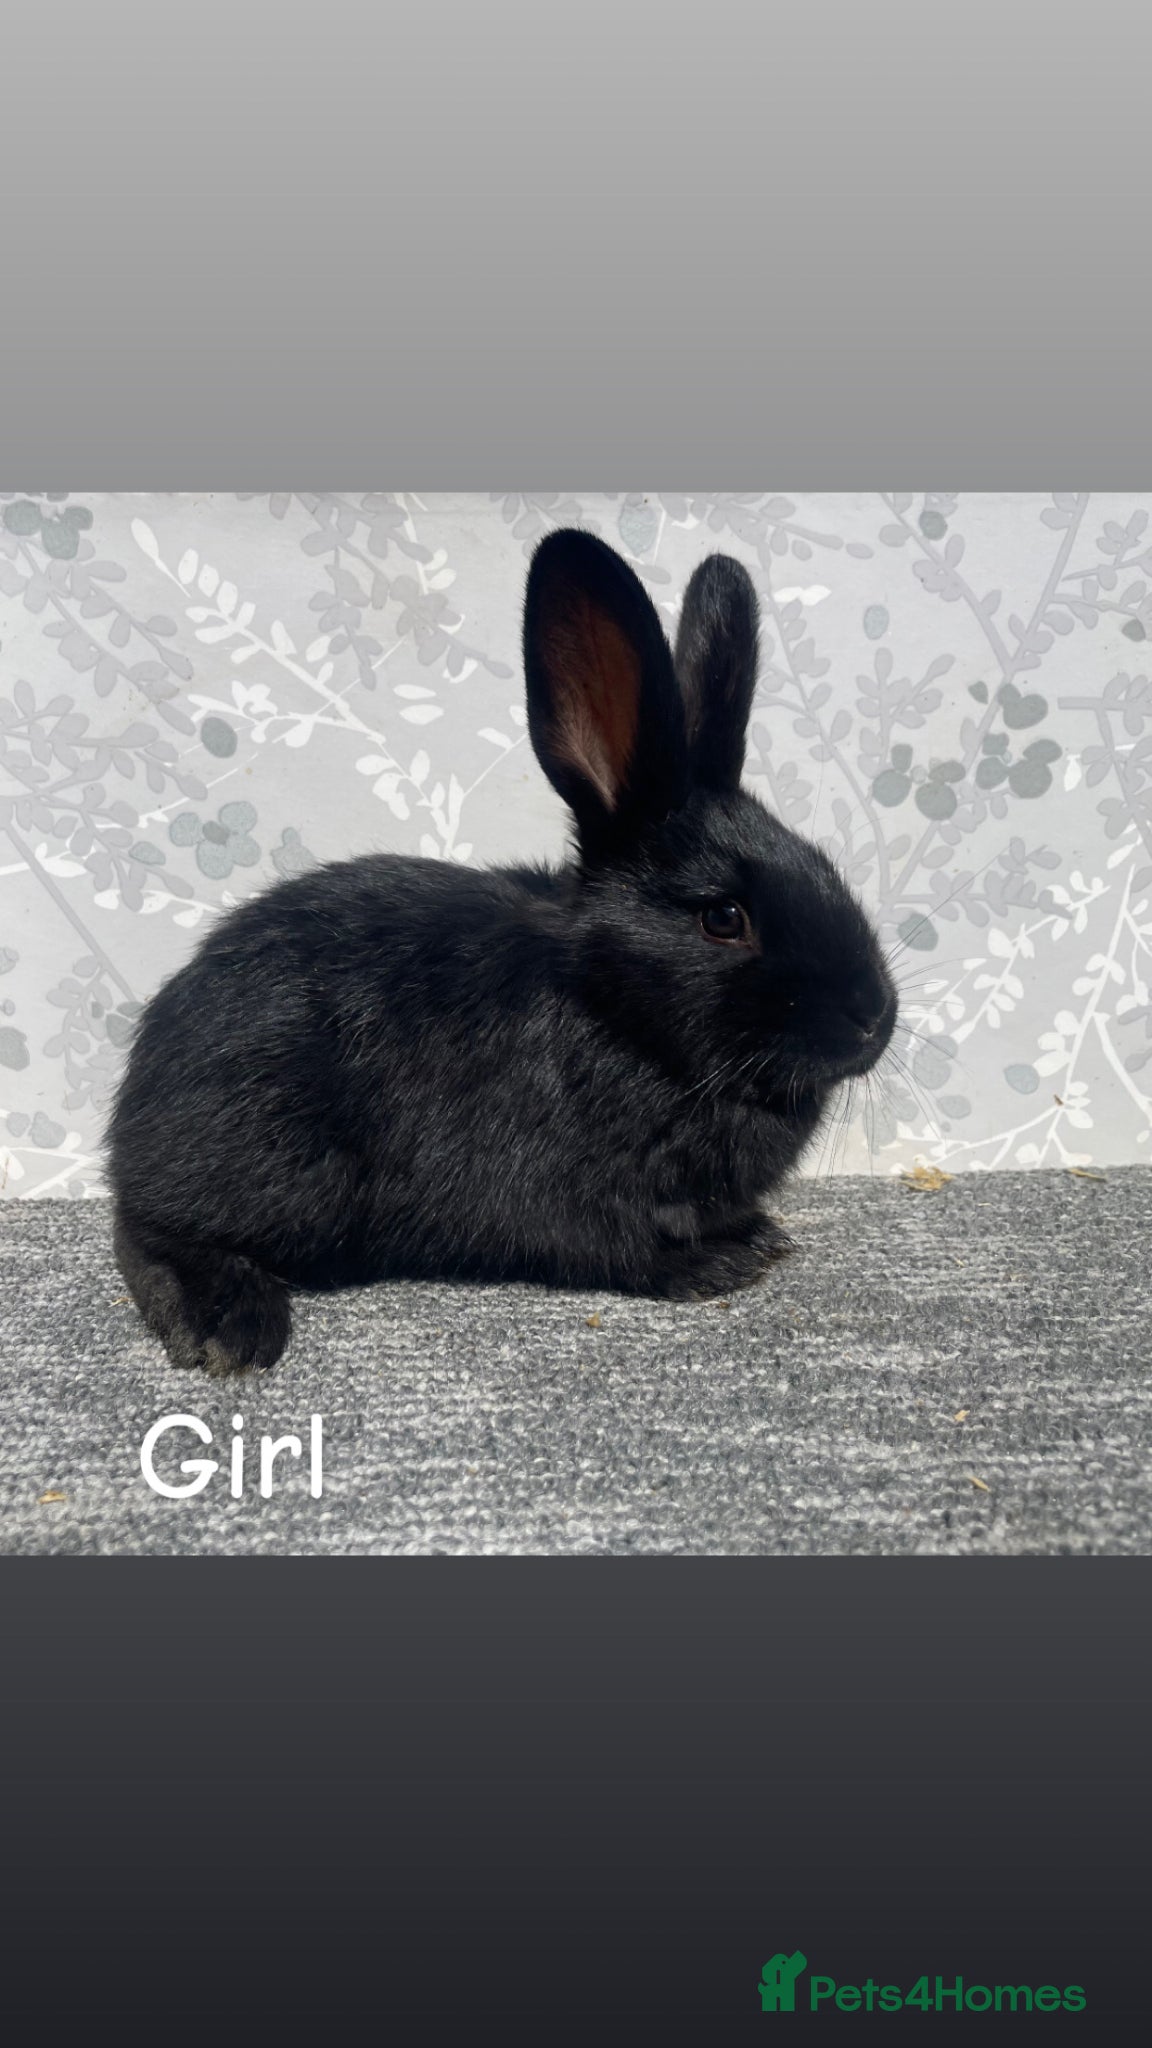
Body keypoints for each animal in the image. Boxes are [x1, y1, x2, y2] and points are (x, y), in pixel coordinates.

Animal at [107, 527, 898, 1375]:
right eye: (723, 917)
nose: (873, 1021)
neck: (616, 1017)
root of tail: (135, 1107)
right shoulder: (561, 1194)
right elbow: (616, 1249)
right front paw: (717, 1263)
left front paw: (757, 1236)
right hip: (270, 1166)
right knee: (149, 1232)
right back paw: (228, 1324)